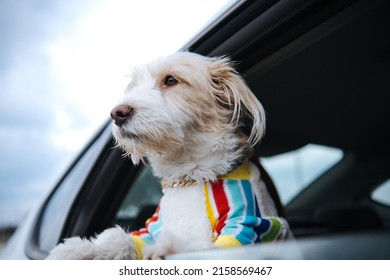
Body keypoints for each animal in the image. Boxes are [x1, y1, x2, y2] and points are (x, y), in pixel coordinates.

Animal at [46, 51, 290, 260]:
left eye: (171, 80)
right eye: (133, 86)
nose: (117, 113)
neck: (188, 177)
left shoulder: (247, 226)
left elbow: (204, 248)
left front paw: (169, 248)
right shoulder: (150, 229)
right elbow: (122, 239)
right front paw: (78, 249)